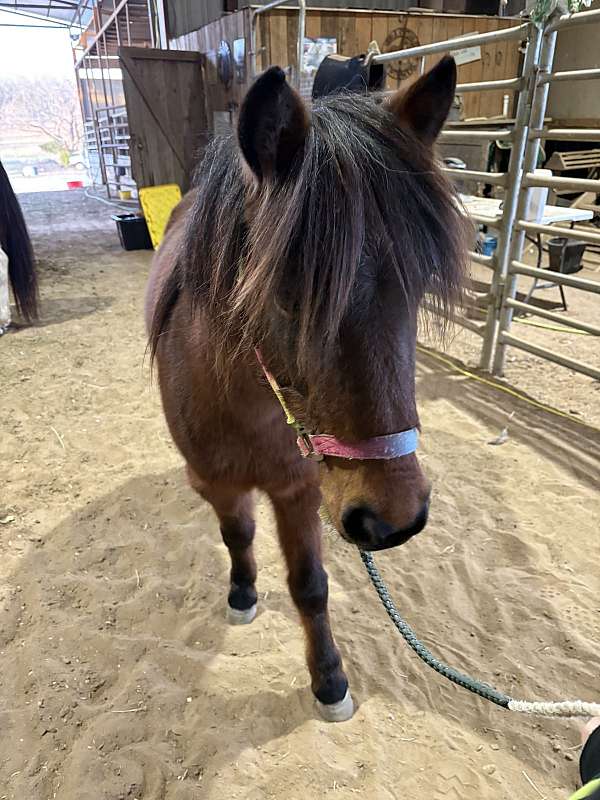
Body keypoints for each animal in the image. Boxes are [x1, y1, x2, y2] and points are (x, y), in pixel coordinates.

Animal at [146, 56, 468, 721]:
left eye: (422, 282)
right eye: (288, 294)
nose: (395, 519)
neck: (247, 406)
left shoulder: (299, 488)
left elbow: (310, 586)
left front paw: (329, 680)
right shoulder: (218, 481)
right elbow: (237, 535)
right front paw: (243, 594)